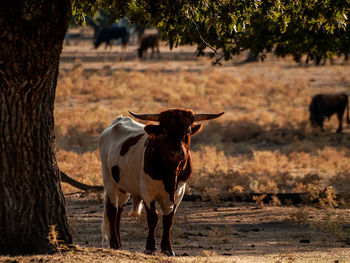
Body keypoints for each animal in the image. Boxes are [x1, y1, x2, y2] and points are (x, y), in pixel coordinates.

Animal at [98, 108, 224, 256]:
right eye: (164, 130)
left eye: (187, 131)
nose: (177, 153)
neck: (170, 174)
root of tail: (116, 122)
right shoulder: (147, 191)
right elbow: (153, 217)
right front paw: (150, 247)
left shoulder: (179, 192)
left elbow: (168, 219)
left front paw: (167, 248)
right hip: (109, 179)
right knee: (112, 210)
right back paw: (114, 244)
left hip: (123, 186)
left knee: (119, 211)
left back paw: (119, 244)